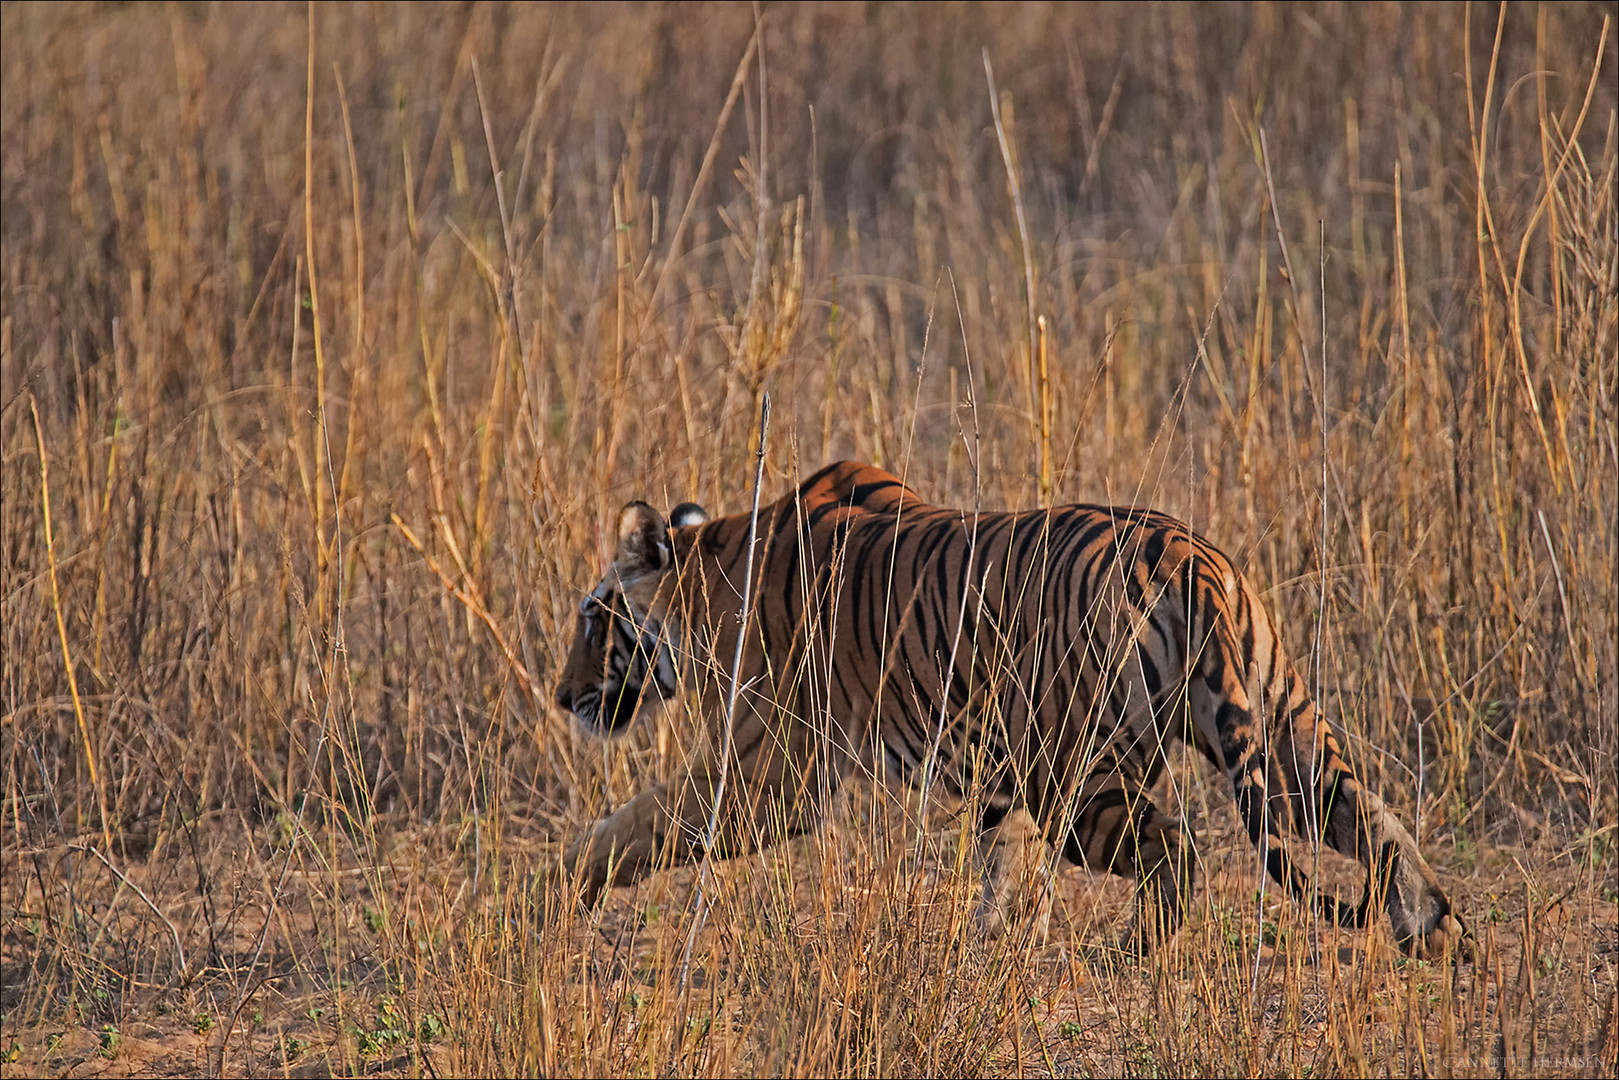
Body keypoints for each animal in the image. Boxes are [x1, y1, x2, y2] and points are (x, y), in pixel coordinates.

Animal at [550, 459, 1476, 952]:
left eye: (593, 616)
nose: (562, 698)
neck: (709, 572)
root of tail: (1187, 555)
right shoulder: (997, 771)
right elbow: (1006, 869)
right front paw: (986, 950)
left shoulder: (765, 776)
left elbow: (631, 825)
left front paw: (549, 894)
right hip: (1280, 726)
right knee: (1374, 819)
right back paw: (1437, 933)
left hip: (1087, 776)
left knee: (1178, 852)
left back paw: (1133, 954)